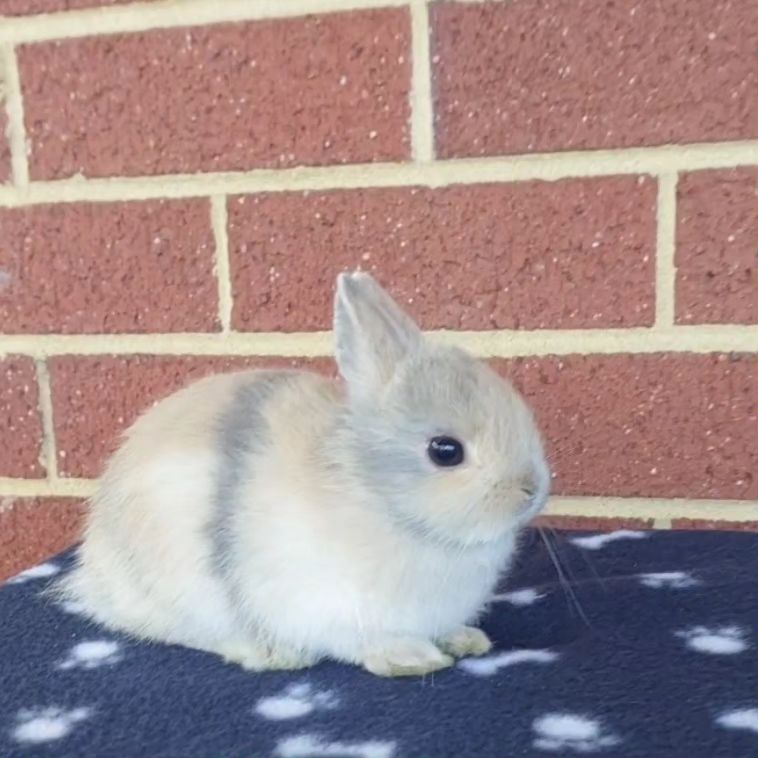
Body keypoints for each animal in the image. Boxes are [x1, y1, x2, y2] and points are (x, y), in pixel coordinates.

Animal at [55, 272, 550, 677]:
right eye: (445, 451)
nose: (531, 490)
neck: (377, 496)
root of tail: (94, 570)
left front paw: (466, 640)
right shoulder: (329, 607)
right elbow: (365, 642)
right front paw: (412, 658)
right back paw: (270, 654)